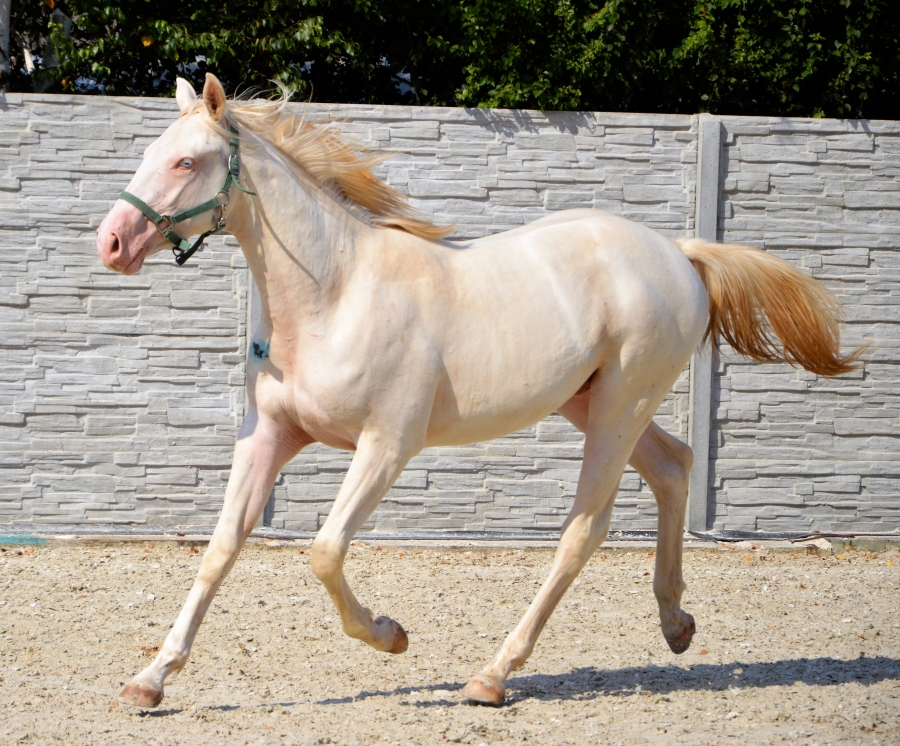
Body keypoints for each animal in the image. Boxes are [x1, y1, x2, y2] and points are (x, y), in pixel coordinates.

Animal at [96, 74, 858, 708]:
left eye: (186, 162)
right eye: (152, 152)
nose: (111, 243)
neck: (335, 293)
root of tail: (681, 253)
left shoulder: (387, 445)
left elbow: (325, 551)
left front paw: (392, 635)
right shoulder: (271, 437)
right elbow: (220, 549)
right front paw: (148, 680)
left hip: (621, 406)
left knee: (584, 530)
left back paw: (493, 676)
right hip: (591, 403)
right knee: (673, 467)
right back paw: (676, 624)